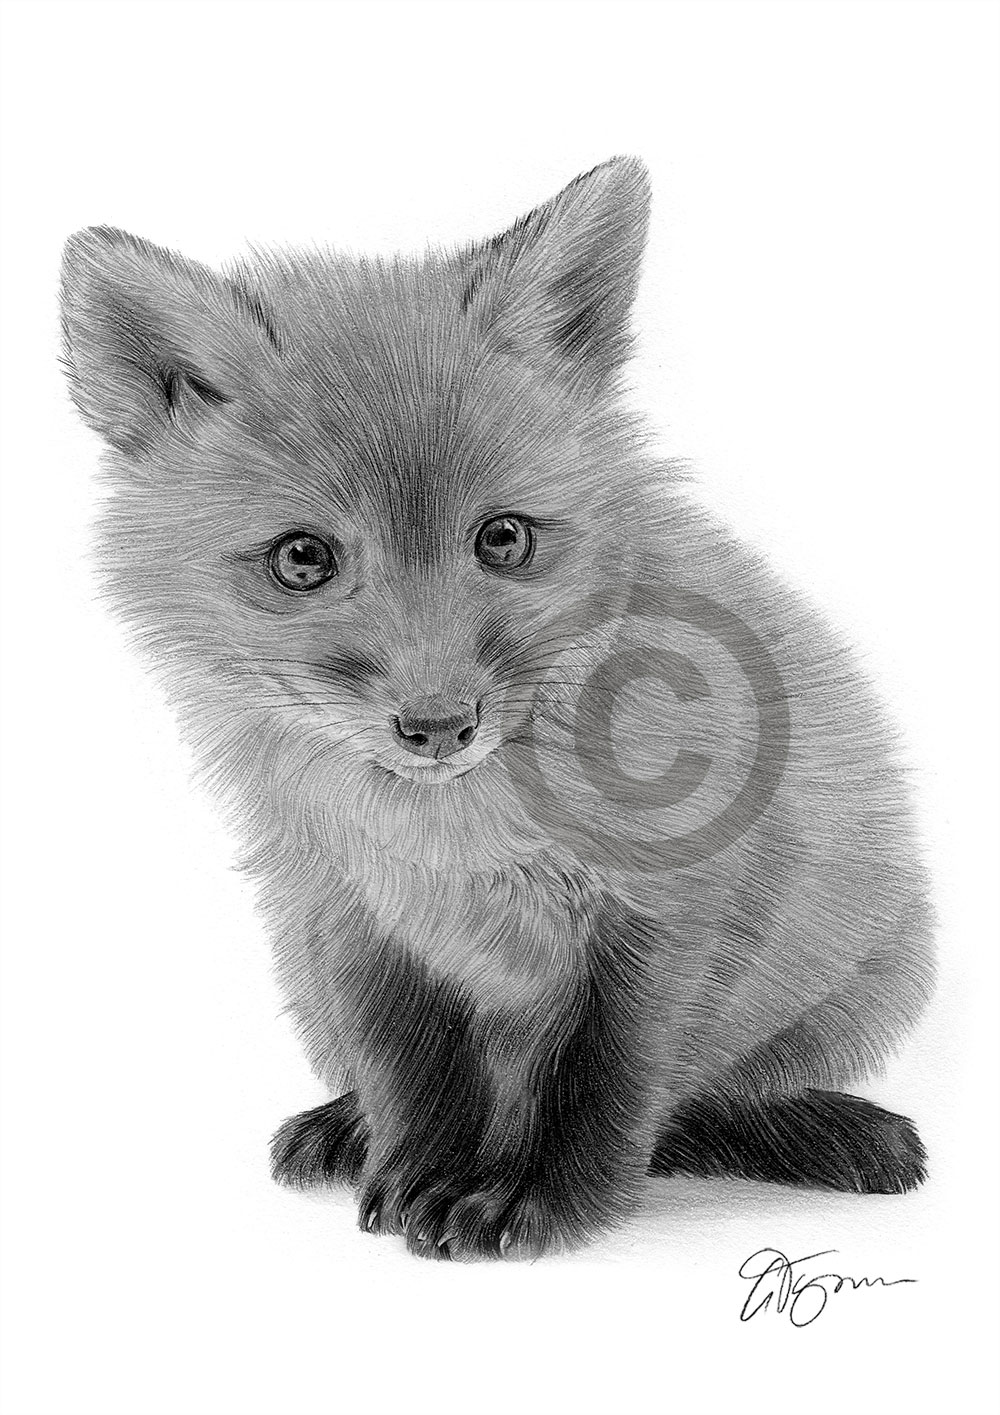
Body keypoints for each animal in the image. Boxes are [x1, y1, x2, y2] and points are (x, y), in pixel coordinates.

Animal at [59, 157, 935, 1261]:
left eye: (505, 538)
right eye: (302, 558)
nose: (438, 726)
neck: (451, 839)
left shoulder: (671, 914)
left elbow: (604, 1083)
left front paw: (540, 1201)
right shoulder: (356, 917)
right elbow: (410, 1070)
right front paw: (414, 1173)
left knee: (704, 1105)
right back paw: (346, 1126)